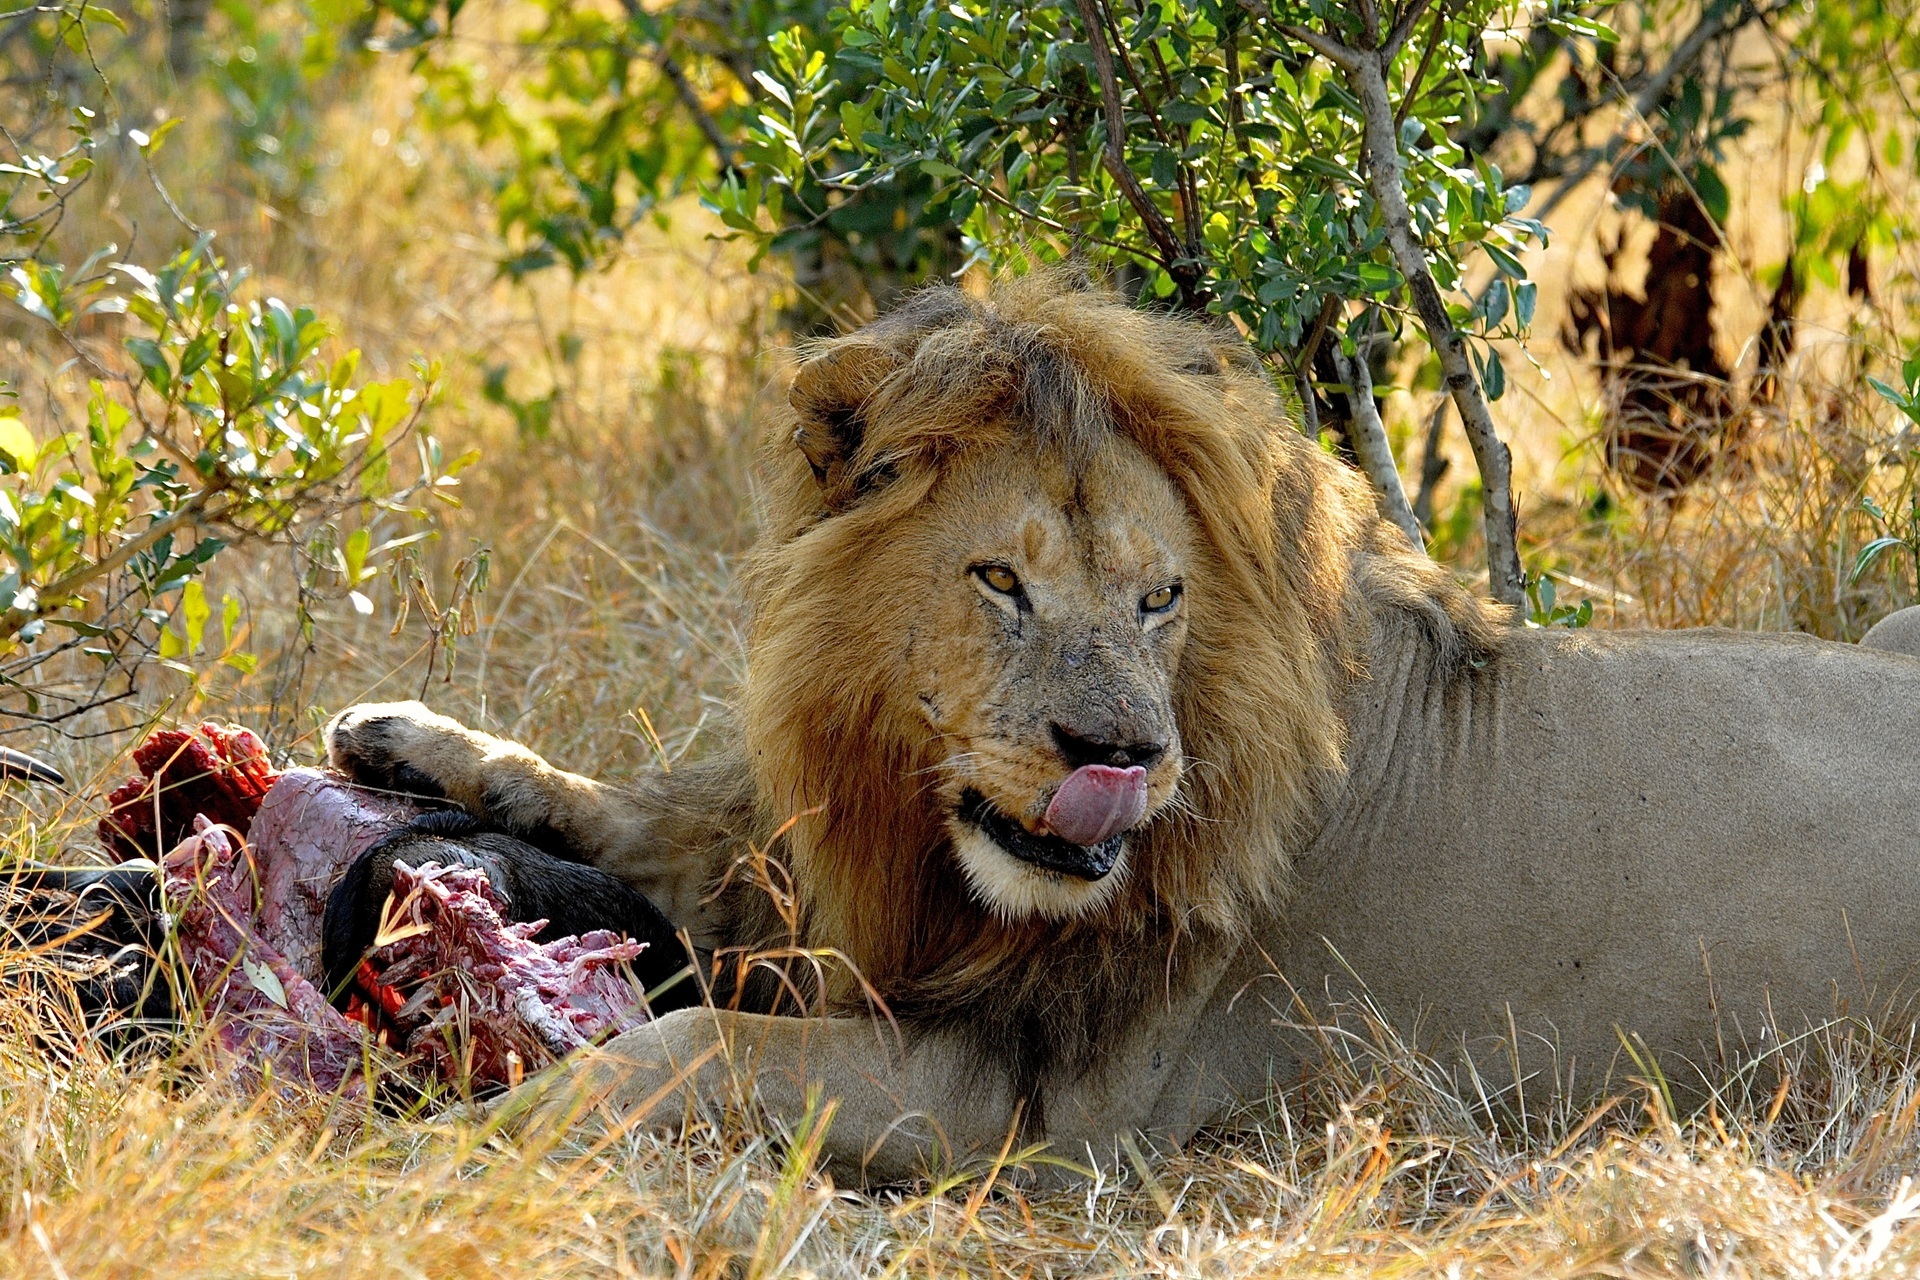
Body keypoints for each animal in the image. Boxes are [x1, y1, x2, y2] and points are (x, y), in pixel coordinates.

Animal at [324, 274, 1920, 1184]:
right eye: (1000, 581)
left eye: (1161, 599)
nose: (1121, 760)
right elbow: (647, 807)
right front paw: (408, 739)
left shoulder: (1044, 1107)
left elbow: (699, 1041)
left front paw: (470, 1139)